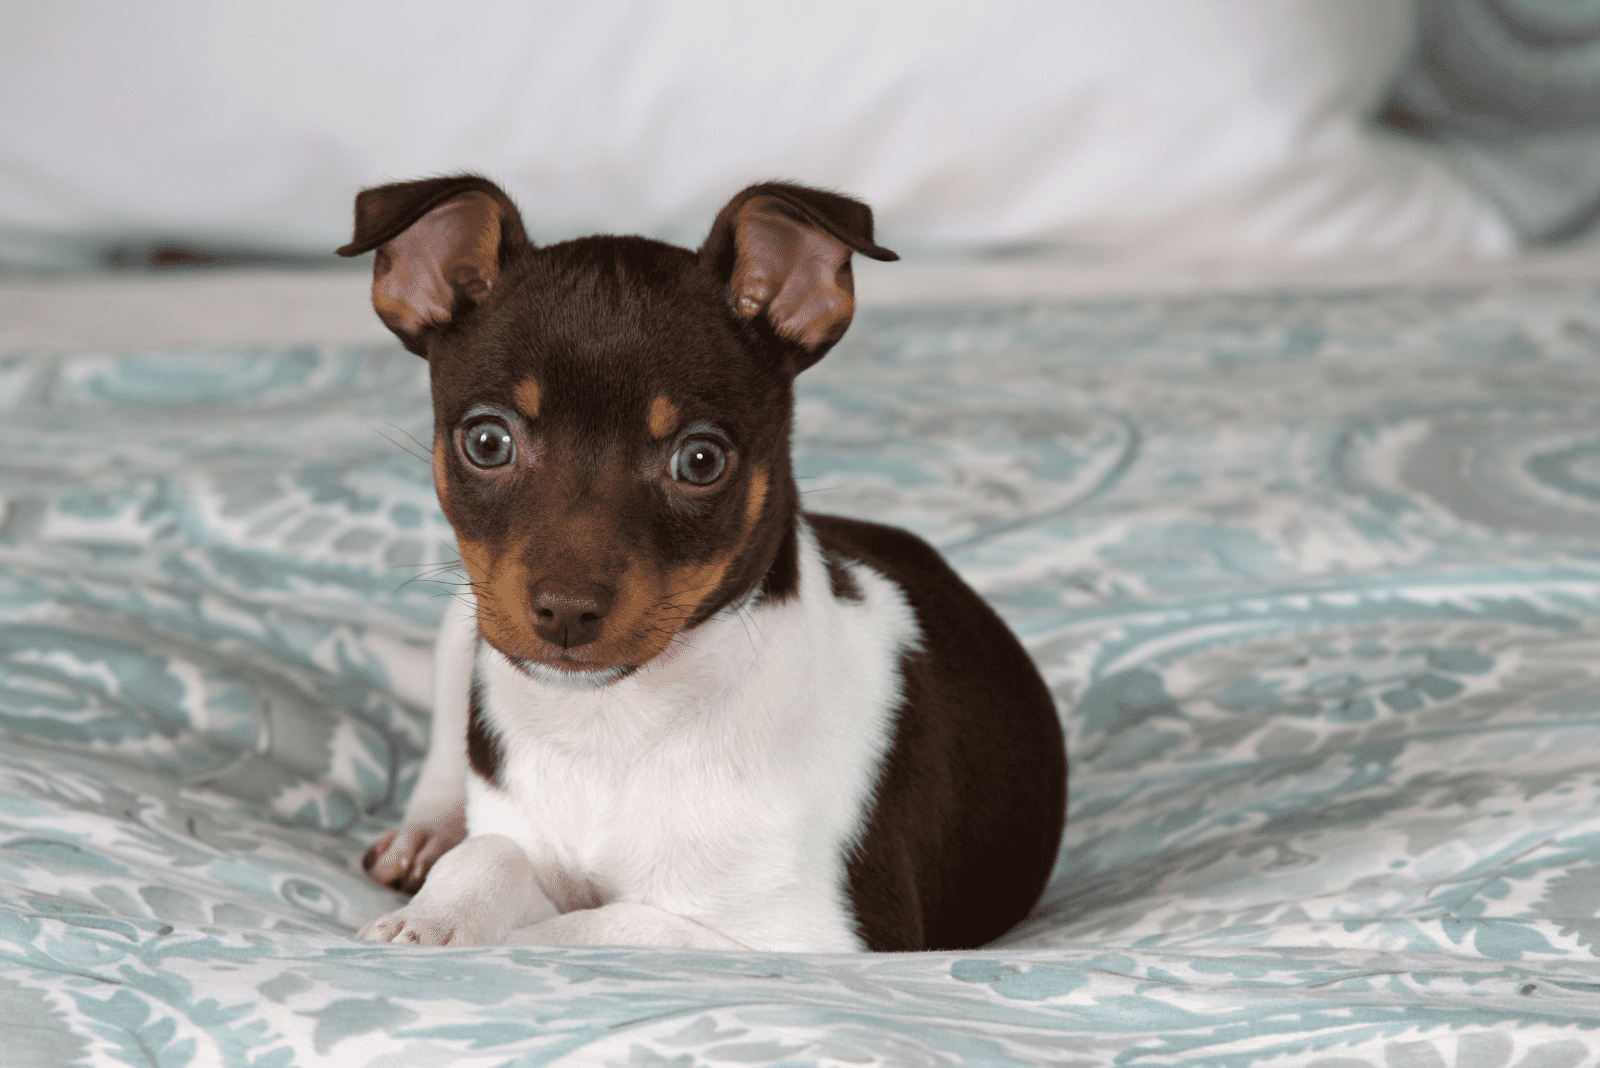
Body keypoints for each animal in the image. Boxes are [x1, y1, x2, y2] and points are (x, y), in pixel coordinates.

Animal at [345, 175, 1068, 952]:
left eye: (700, 461)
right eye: (486, 442)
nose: (566, 610)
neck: (613, 727)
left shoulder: (827, 936)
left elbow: (605, 926)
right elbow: (492, 852)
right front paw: (435, 917)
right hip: (466, 621)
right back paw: (425, 833)